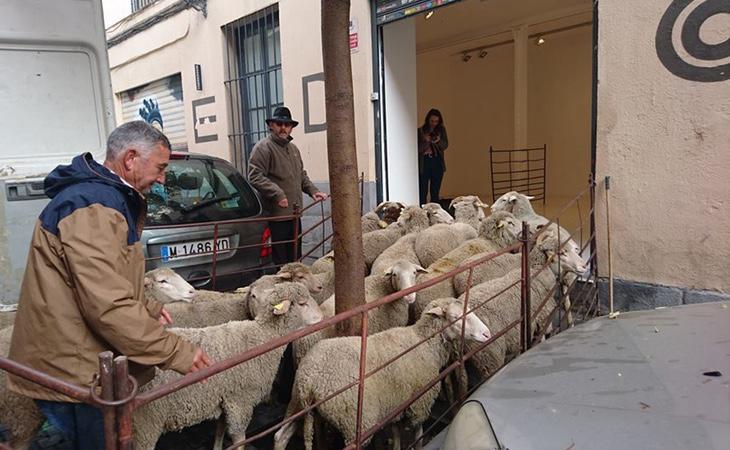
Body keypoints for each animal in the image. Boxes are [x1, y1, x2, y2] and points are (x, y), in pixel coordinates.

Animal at [132, 284, 324, 448]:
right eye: (302, 303)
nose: (322, 317)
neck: (263, 336)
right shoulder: (241, 401)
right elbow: (239, 440)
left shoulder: (227, 398)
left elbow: (220, 430)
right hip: (146, 423)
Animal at [272, 298, 490, 450]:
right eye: (455, 317)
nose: (487, 334)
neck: (423, 342)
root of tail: (310, 381)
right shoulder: (420, 402)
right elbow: (418, 433)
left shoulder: (395, 403)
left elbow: (396, 433)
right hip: (355, 421)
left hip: (297, 403)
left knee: (280, 436)